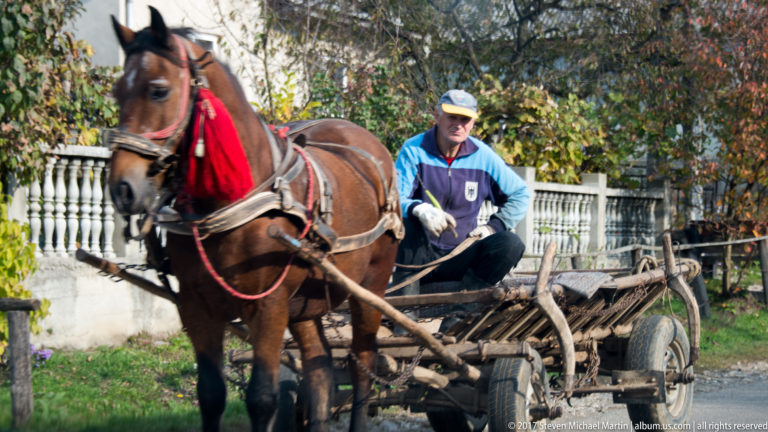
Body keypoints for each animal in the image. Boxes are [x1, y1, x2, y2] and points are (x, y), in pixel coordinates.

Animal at [105, 7, 403, 432]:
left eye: (158, 90)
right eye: (117, 92)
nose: (122, 188)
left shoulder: (268, 305)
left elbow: (262, 397)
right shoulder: (195, 305)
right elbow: (211, 393)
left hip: (371, 287)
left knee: (361, 362)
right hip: (307, 304)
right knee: (319, 366)